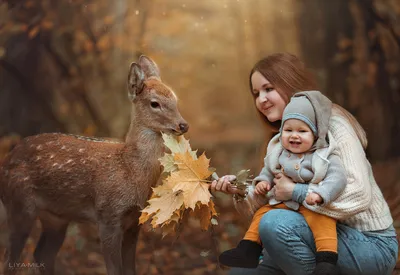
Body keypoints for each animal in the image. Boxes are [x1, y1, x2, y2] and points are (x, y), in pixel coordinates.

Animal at [0, 56, 189, 275]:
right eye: (154, 103)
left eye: (175, 99)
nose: (183, 125)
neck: (130, 171)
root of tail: (6, 160)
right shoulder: (107, 215)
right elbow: (114, 270)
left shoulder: (134, 221)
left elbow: (130, 269)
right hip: (19, 205)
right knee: (10, 259)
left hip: (56, 218)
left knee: (42, 254)